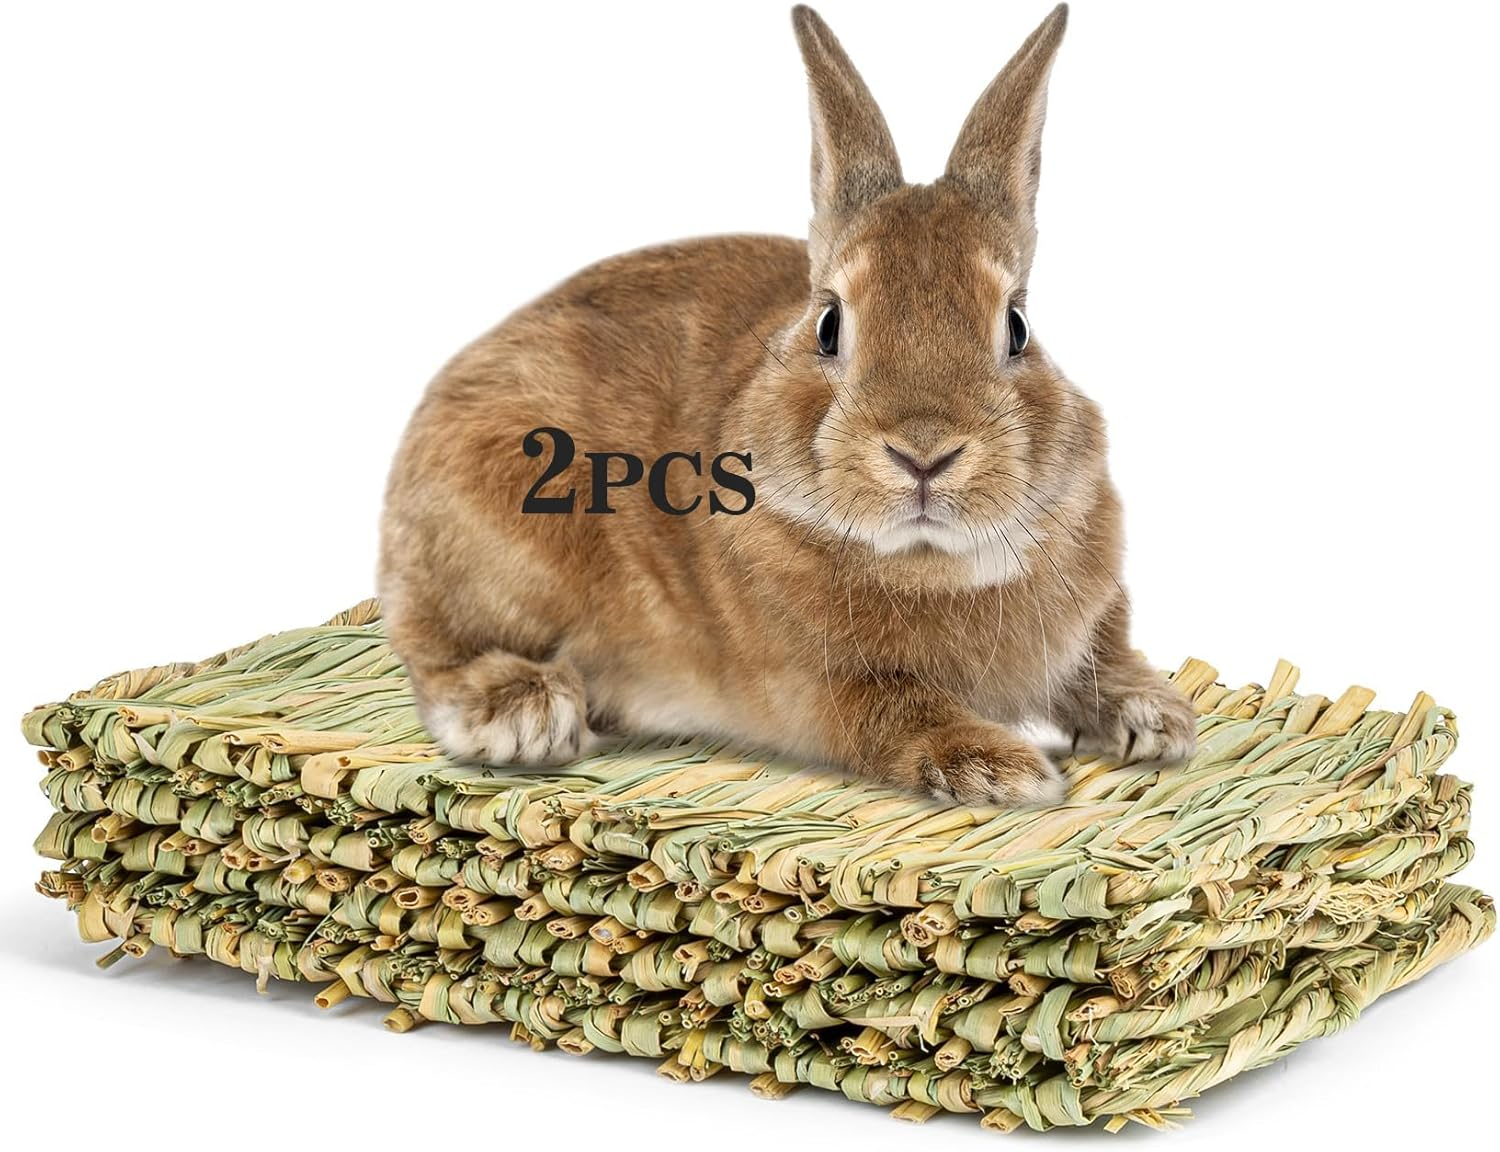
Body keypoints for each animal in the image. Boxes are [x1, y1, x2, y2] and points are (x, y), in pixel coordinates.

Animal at [378, 3, 1196, 807]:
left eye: (1018, 327)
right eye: (829, 324)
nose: (924, 453)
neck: (931, 563)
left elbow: (1101, 660)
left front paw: (1157, 719)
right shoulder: (817, 686)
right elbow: (895, 712)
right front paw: (1005, 769)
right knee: (431, 648)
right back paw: (522, 712)